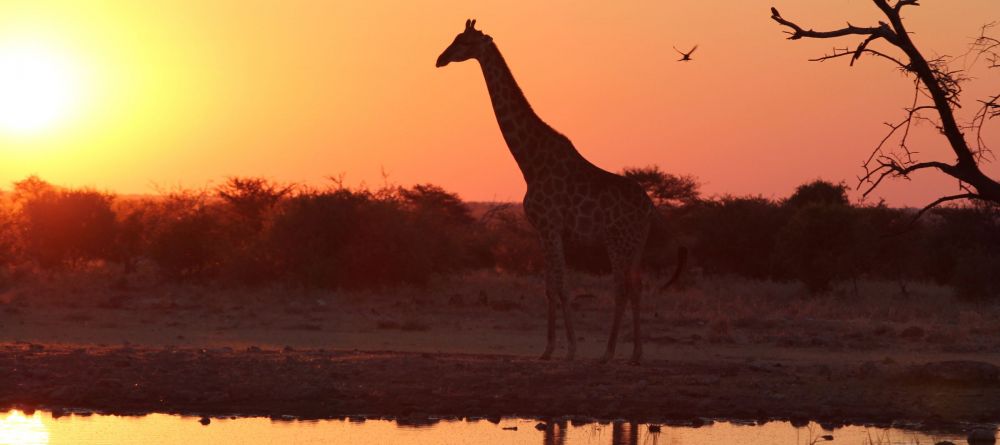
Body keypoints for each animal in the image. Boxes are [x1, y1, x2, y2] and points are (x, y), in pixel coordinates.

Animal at [436, 19, 685, 364]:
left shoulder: (551, 225)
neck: (529, 161)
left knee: (622, 287)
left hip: (617, 239)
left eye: (464, 42)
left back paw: (608, 352)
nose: (440, 59)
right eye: (455, 38)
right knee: (636, 286)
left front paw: (569, 349)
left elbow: (562, 286)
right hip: (635, 242)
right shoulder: (541, 229)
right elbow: (548, 287)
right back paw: (635, 354)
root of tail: (650, 207)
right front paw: (549, 348)